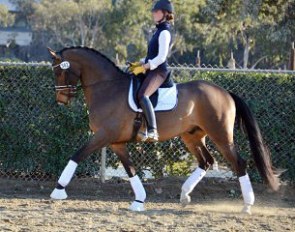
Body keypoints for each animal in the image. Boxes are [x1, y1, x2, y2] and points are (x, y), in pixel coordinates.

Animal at [47, 46, 280, 215]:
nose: (60, 100)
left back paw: (247, 205)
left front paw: (58, 190)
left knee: (238, 163)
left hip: (221, 135)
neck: (107, 87)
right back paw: (184, 196)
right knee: (206, 161)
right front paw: (139, 201)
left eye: (59, 71)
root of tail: (225, 92)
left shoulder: (103, 136)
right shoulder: (116, 142)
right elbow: (131, 170)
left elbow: (76, 156)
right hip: (192, 136)